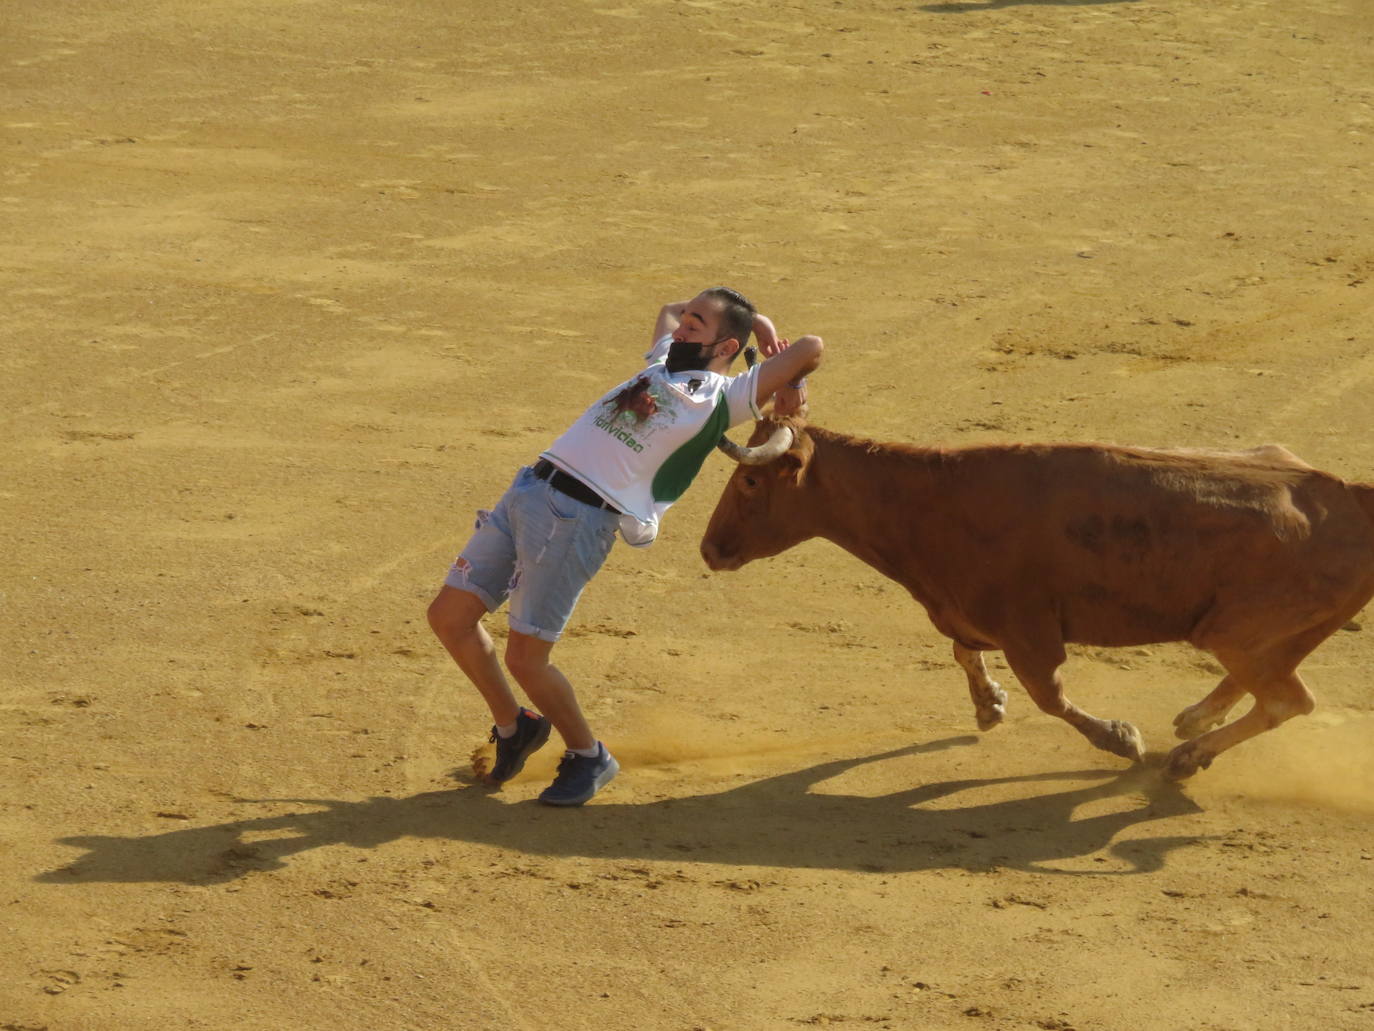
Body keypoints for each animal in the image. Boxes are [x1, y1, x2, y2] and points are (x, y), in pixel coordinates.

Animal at [703, 415, 1374, 780]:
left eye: (751, 480)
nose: (709, 549)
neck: (929, 503)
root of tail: (1351, 495)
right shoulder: (963, 612)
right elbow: (963, 652)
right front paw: (988, 707)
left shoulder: (1028, 630)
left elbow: (1050, 696)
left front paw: (1120, 738)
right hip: (1273, 630)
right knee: (1272, 682)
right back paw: (1193, 725)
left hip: (1233, 630)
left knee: (1288, 699)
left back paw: (1185, 757)